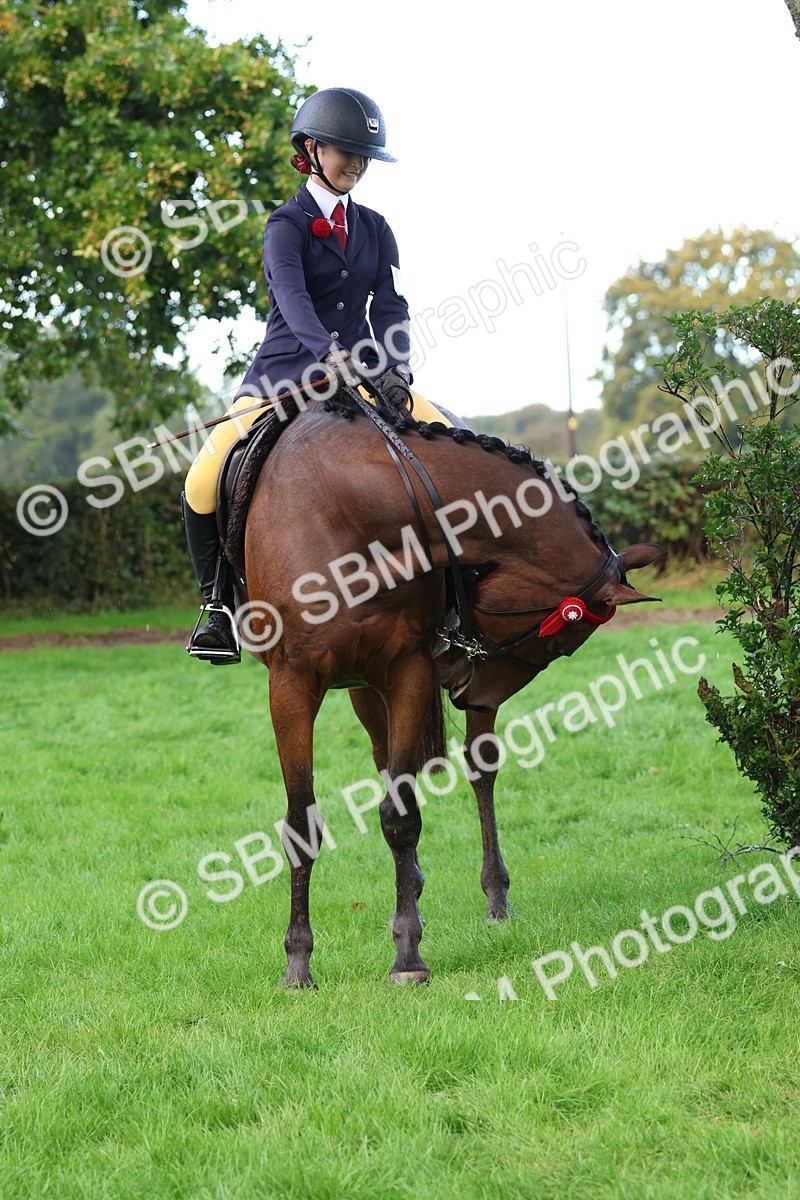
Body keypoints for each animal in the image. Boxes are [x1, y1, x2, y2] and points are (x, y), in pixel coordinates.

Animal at [236, 389, 663, 988]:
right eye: (560, 639)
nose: (461, 680)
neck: (354, 507)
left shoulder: (408, 670)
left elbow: (401, 817)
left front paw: (408, 955)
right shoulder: (292, 683)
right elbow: (303, 824)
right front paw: (298, 963)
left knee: (476, 771)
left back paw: (493, 898)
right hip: (363, 688)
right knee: (384, 760)